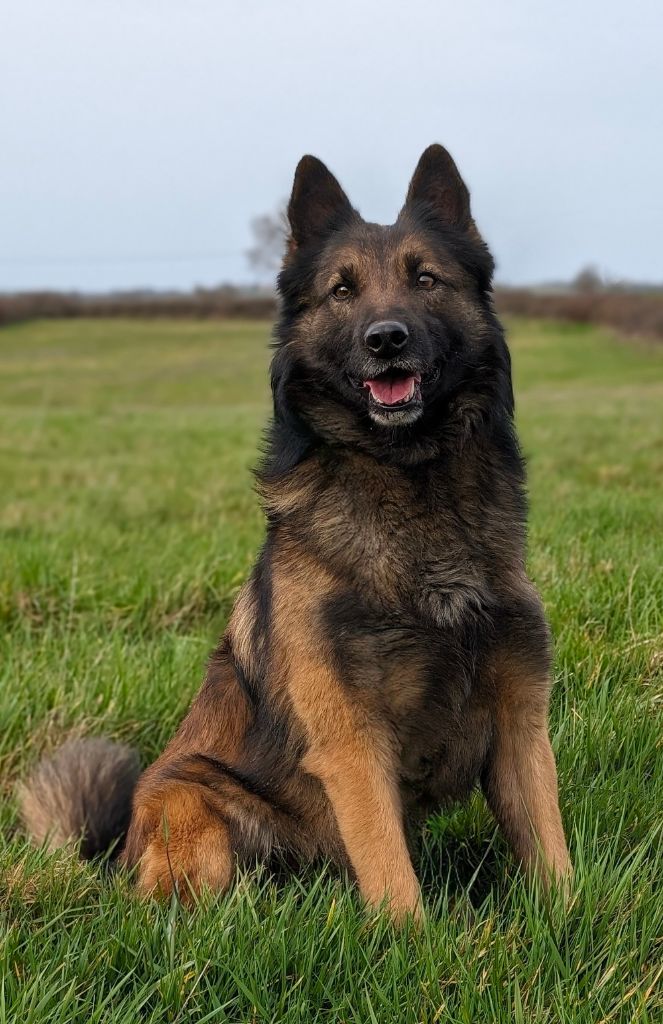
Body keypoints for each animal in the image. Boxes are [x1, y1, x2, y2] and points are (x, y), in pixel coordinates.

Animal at [20, 145, 571, 920]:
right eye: (341, 291)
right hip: (194, 806)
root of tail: (115, 858)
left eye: (425, 279)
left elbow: (552, 856)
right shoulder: (349, 738)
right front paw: (416, 940)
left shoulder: (520, 718)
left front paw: (574, 918)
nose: (386, 339)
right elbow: (393, 878)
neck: (410, 481)